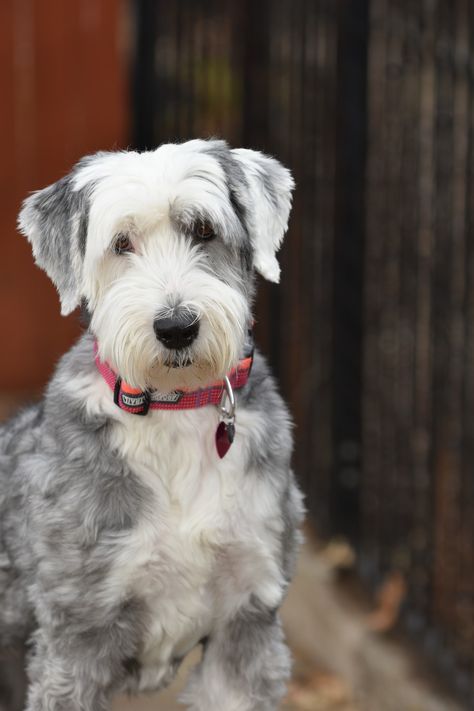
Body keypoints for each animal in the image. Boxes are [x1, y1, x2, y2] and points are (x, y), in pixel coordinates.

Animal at [0, 139, 304, 711]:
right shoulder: (77, 632)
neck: (172, 408)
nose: (176, 327)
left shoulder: (245, 617)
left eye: (203, 230)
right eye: (122, 243)